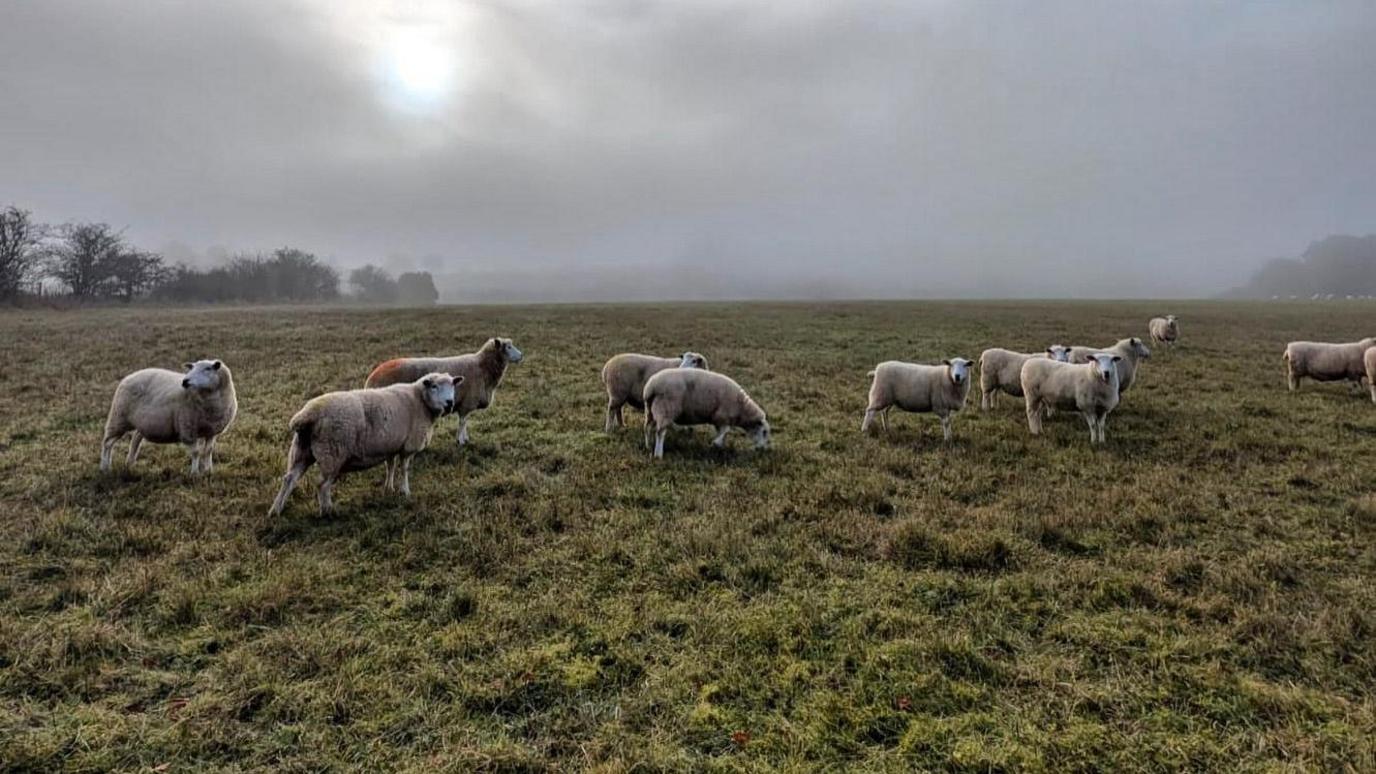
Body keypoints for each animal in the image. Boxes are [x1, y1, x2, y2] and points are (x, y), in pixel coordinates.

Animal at [101, 358, 239, 473]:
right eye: (192, 368)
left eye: (208, 369)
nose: (185, 381)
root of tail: (129, 376)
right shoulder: (187, 429)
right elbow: (196, 452)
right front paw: (195, 473)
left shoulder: (212, 431)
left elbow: (208, 451)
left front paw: (208, 471)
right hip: (119, 418)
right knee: (107, 443)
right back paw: (105, 467)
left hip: (140, 422)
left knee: (135, 439)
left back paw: (129, 464)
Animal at [265, 371, 459, 515]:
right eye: (434, 386)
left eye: (453, 385)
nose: (450, 403)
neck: (420, 401)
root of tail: (305, 416)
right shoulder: (408, 446)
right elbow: (404, 469)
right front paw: (405, 491)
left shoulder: (391, 445)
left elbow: (390, 466)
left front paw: (389, 488)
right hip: (332, 453)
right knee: (322, 484)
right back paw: (327, 511)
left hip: (301, 450)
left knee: (289, 479)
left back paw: (276, 510)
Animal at [363, 336, 522, 446]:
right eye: (508, 347)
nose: (521, 356)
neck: (482, 367)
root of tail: (371, 377)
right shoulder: (467, 402)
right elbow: (462, 422)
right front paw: (461, 441)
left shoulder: (465, 403)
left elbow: (465, 422)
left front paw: (465, 439)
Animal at [641, 366, 770, 457]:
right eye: (764, 432)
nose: (762, 450)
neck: (742, 408)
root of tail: (650, 387)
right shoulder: (722, 416)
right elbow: (726, 430)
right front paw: (715, 443)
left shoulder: (719, 419)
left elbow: (722, 432)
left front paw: (719, 446)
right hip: (666, 409)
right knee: (660, 432)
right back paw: (658, 454)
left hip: (651, 410)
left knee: (647, 427)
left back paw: (648, 446)